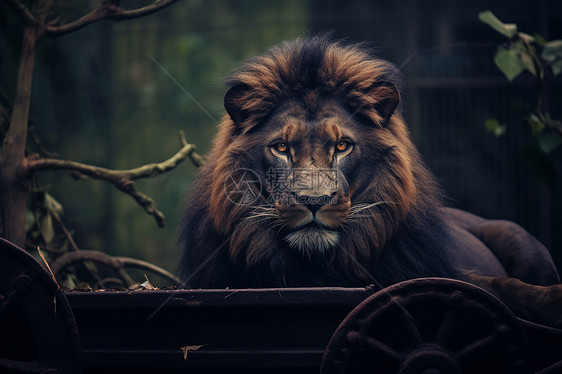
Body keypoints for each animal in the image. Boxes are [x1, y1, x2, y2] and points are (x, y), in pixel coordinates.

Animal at [179, 34, 560, 328]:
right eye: (282, 148)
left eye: (342, 146)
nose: (313, 201)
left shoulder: (439, 271)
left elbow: (497, 285)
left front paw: (550, 301)